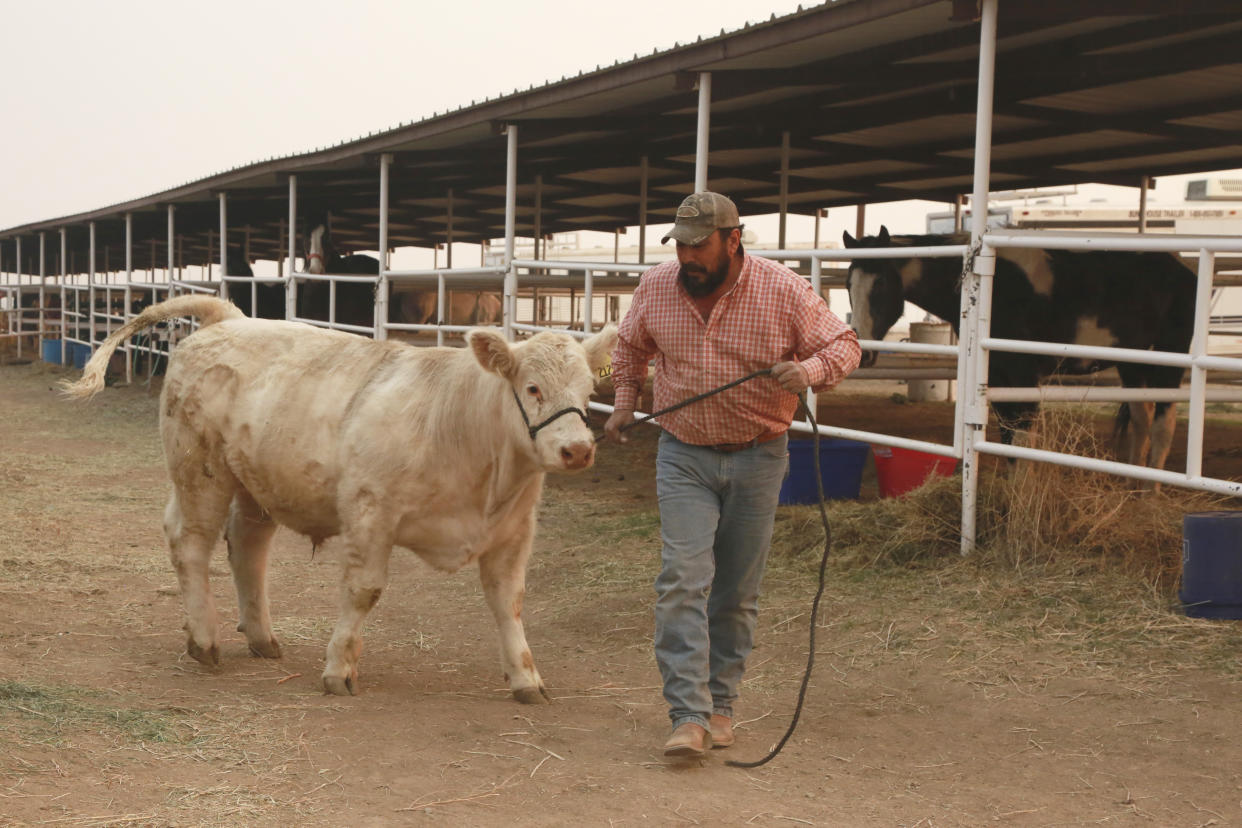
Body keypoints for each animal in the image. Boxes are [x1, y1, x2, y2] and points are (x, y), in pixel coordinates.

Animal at [63, 294, 616, 705]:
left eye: (589, 391)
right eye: (533, 387)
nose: (578, 449)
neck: (460, 426)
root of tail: (230, 318)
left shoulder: (514, 530)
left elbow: (509, 602)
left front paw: (527, 678)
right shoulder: (371, 513)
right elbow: (362, 592)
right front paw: (339, 669)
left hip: (257, 481)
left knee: (247, 548)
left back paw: (261, 637)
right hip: (200, 473)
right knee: (191, 543)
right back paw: (204, 640)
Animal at [839, 227, 1197, 471]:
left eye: (881, 283)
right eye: (847, 284)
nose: (863, 351)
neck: (988, 286)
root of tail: (1183, 267)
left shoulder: (1023, 376)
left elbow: (1021, 442)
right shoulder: (997, 376)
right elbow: (1008, 440)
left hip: (1171, 356)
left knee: (1163, 424)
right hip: (1132, 363)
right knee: (1142, 418)